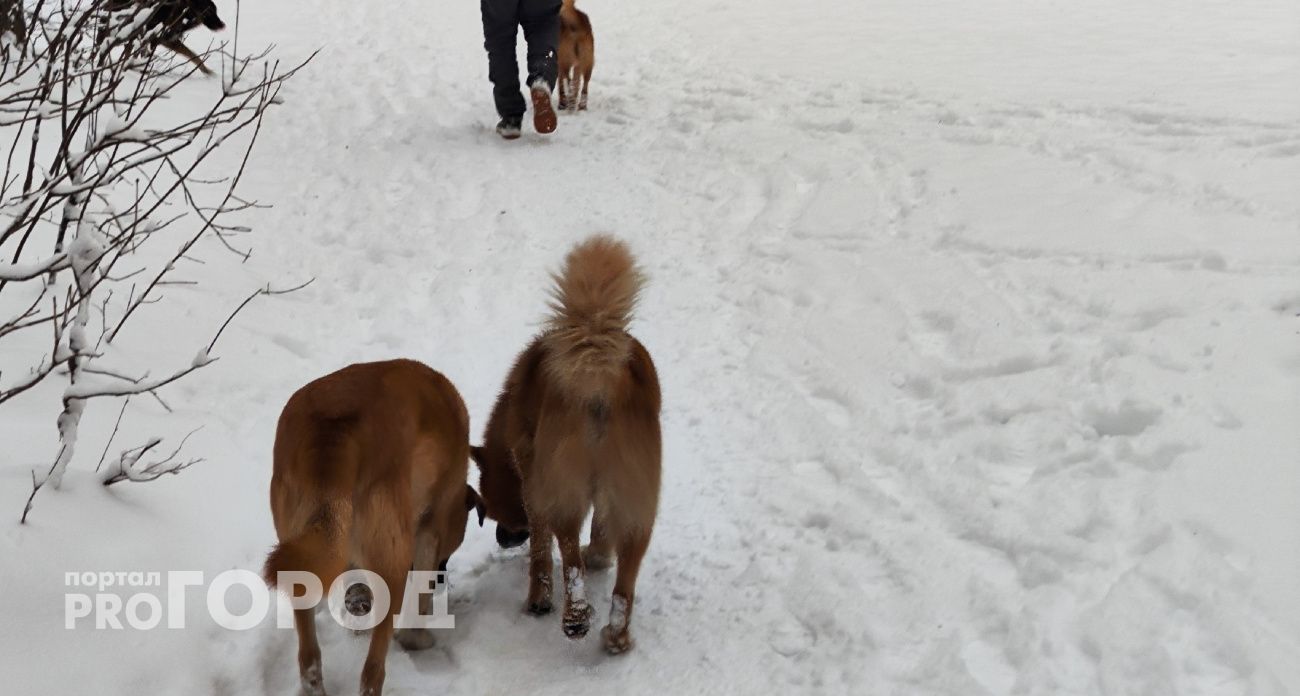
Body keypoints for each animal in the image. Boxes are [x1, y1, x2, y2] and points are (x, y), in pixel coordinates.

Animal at [262, 359, 483, 696]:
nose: (442, 578)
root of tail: (333, 431)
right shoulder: (429, 532)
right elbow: (419, 600)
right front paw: (417, 637)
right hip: (392, 561)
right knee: (372, 671)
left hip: (301, 558)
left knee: (309, 657)